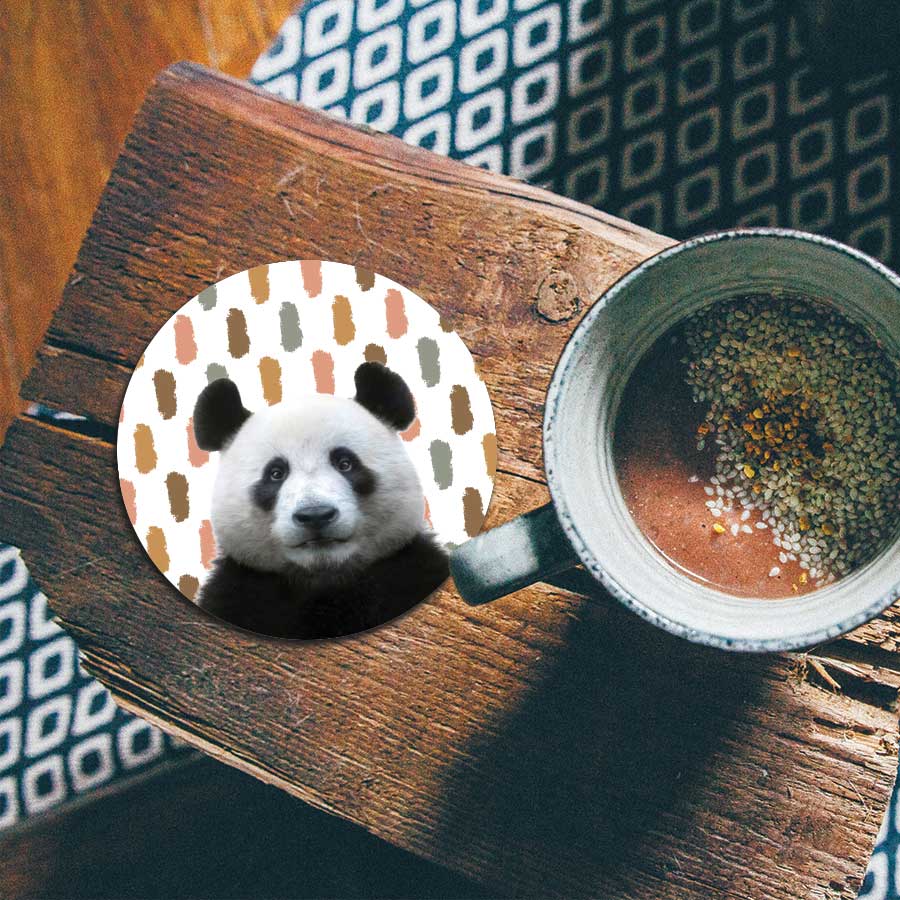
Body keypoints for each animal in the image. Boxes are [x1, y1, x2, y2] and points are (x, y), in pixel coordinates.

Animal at [192, 361, 449, 639]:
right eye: (276, 473)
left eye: (345, 463)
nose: (315, 515)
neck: (324, 580)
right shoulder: (240, 593)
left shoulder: (409, 572)